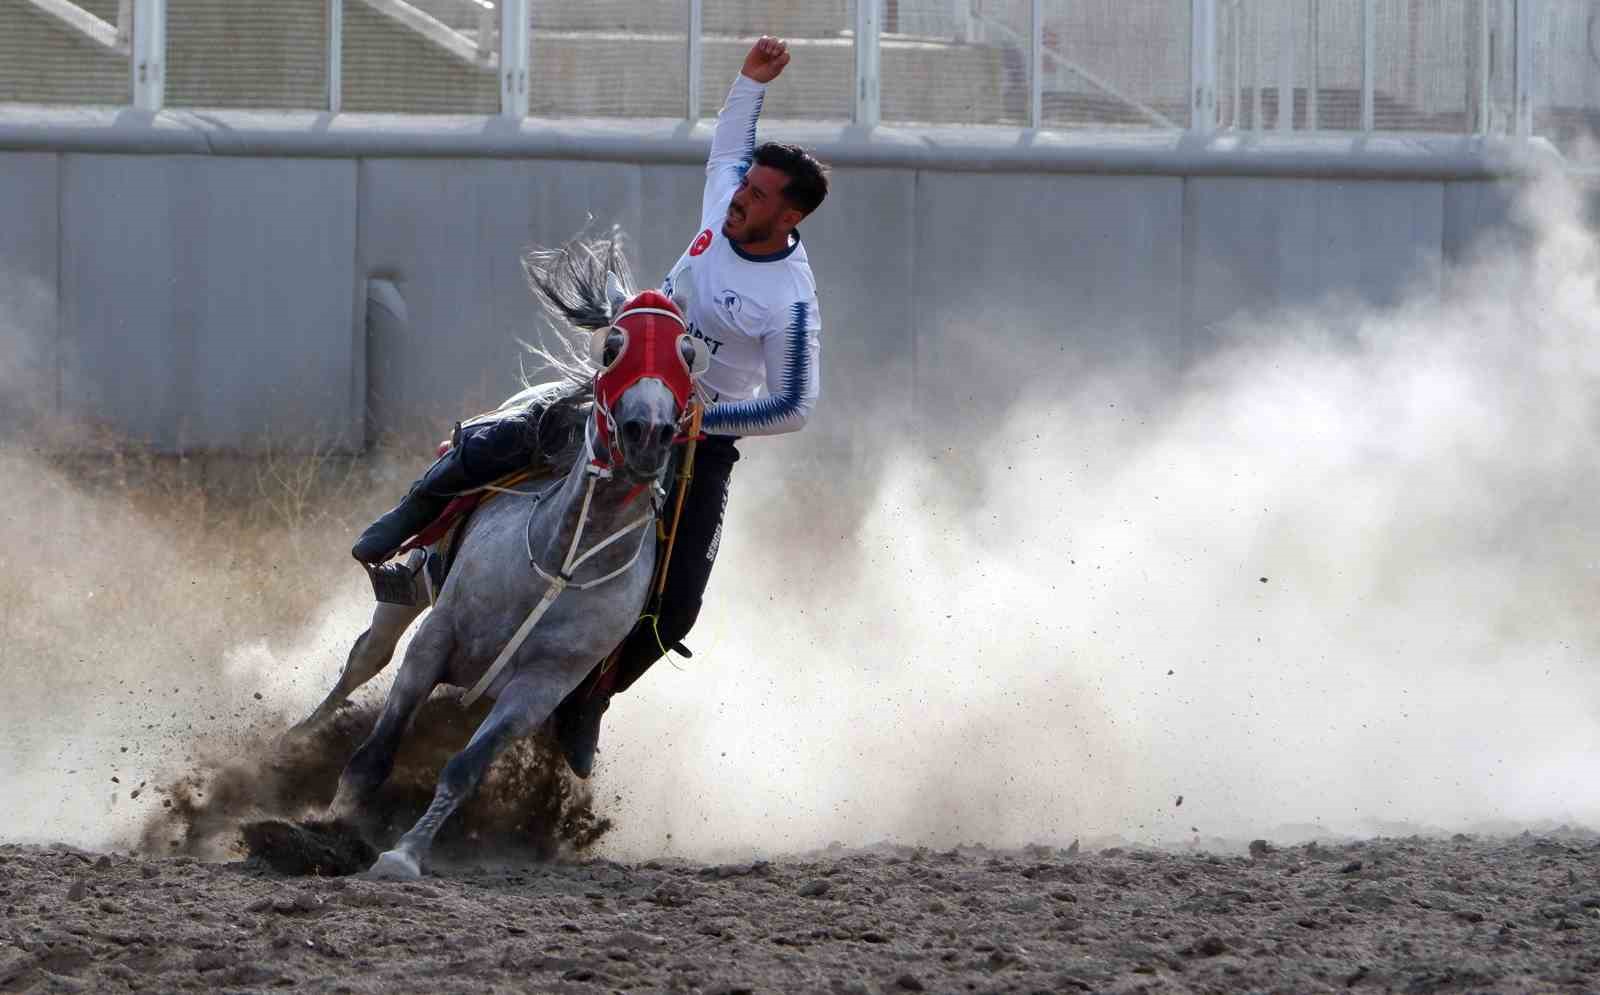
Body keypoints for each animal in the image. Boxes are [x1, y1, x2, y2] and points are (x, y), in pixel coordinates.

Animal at [321, 239, 697, 883]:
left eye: (687, 354)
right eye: (615, 347)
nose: (646, 432)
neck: (560, 560)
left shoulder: (540, 686)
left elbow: (464, 769)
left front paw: (404, 852)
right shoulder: (436, 638)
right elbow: (374, 753)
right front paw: (332, 824)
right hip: (410, 591)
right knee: (364, 657)